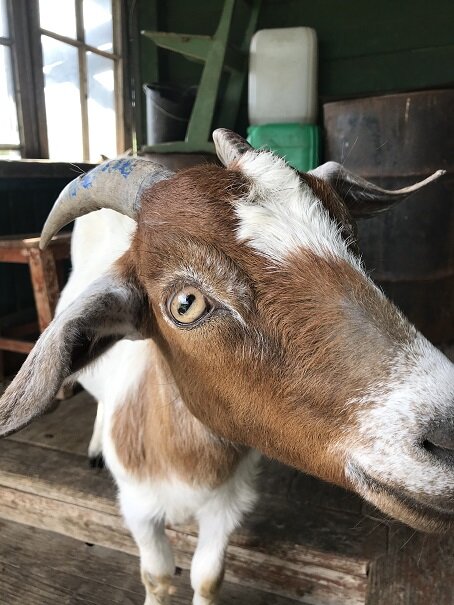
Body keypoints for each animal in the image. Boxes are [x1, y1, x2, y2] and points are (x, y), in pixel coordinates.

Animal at [0, 129, 454, 604]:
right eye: (185, 303)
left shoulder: (225, 506)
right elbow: (157, 575)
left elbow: (207, 575)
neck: (184, 460)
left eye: (352, 244)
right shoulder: (138, 509)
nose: (450, 435)